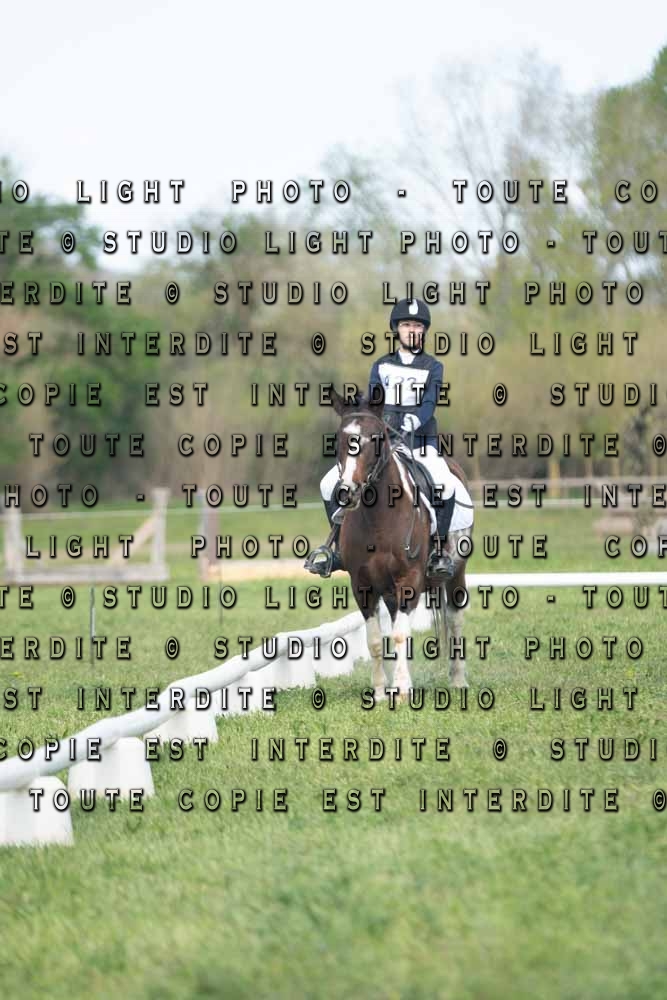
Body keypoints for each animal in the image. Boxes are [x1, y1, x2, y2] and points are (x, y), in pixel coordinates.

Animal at [330, 387, 473, 693]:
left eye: (376, 437)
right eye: (340, 439)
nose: (347, 492)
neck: (378, 518)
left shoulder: (409, 580)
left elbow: (399, 635)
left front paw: (403, 689)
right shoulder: (362, 585)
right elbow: (375, 640)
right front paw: (381, 690)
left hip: (456, 573)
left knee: (454, 619)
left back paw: (458, 680)